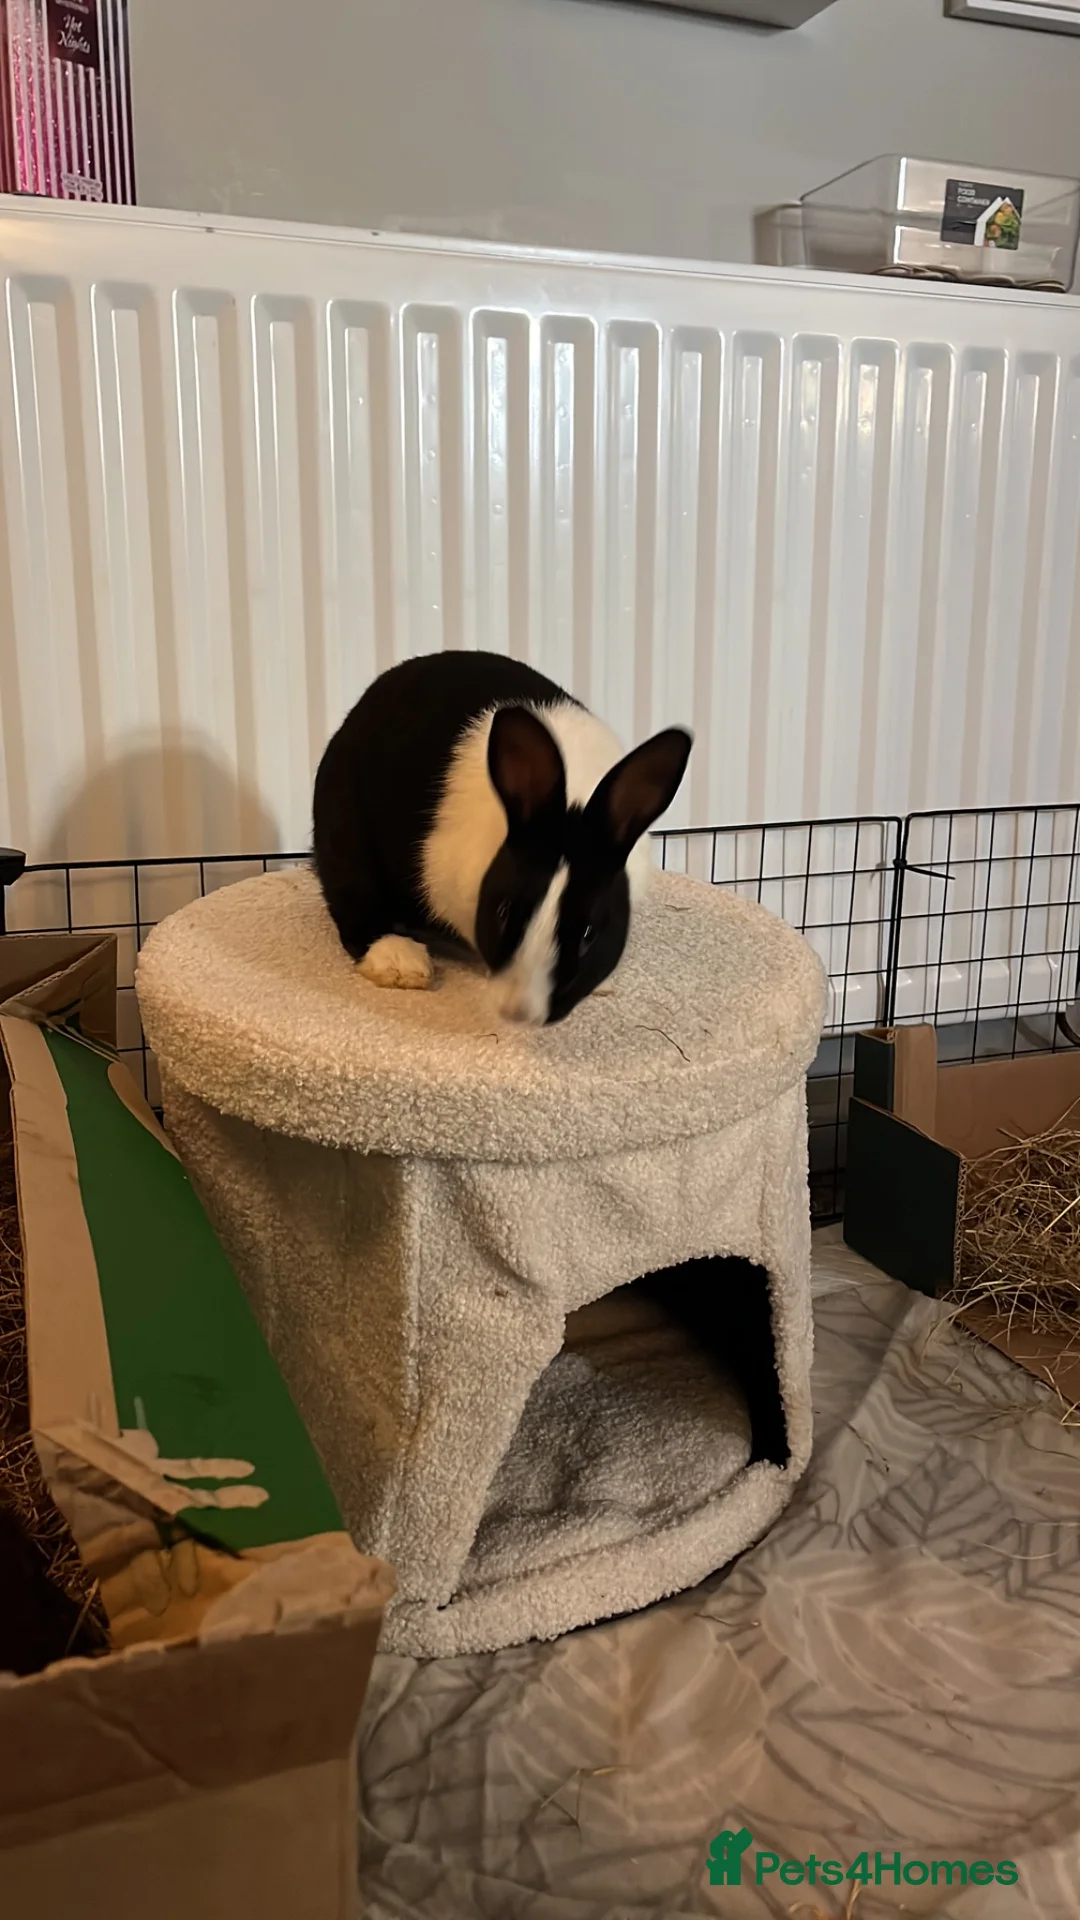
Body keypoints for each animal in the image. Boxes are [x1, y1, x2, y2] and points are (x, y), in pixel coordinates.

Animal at [312, 650, 691, 1025]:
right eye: (504, 911)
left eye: (588, 933)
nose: (518, 1013)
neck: (572, 802)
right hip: (344, 835)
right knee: (353, 902)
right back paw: (400, 961)